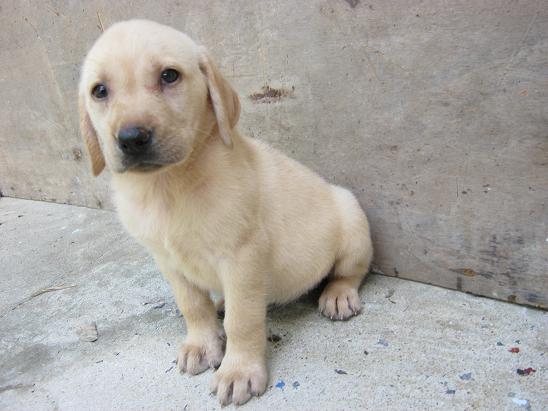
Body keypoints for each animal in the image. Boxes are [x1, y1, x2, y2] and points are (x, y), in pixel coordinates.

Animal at [79, 19, 373, 406]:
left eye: (169, 76)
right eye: (99, 91)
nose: (131, 138)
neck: (166, 186)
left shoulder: (242, 257)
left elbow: (242, 320)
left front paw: (239, 371)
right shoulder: (167, 261)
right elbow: (192, 305)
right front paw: (202, 344)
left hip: (352, 219)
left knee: (349, 272)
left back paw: (338, 295)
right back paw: (220, 303)